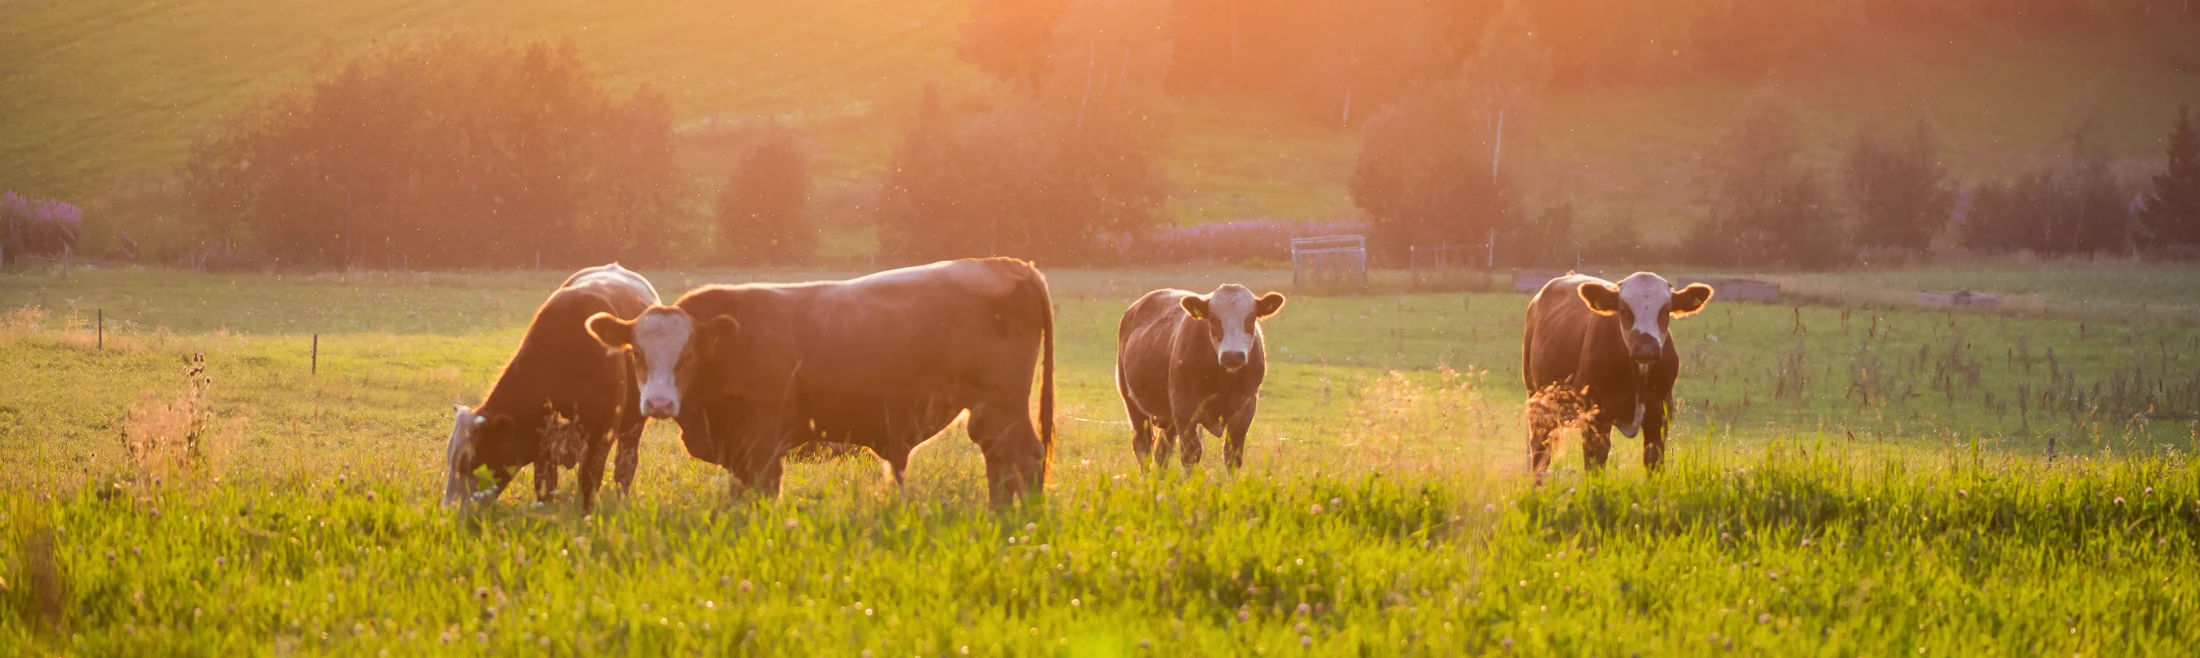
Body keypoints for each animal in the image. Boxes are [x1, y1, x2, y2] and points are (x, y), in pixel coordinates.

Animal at [442, 264, 655, 510]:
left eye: (470, 463)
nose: (448, 510)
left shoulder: (601, 436)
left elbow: (589, 481)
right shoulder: (543, 448)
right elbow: (544, 487)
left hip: (633, 426)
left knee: (625, 467)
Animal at [585, 257, 1056, 506]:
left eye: (688, 356)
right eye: (636, 353)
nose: (658, 404)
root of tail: (1007, 265)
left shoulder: (761, 442)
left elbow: (761, 493)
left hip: (1002, 406)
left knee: (1025, 458)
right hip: (990, 414)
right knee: (1001, 462)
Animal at [1117, 286, 1284, 470]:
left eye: (1250, 318)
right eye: (1213, 319)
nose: (1232, 355)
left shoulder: (1245, 408)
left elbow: (1232, 456)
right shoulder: (1184, 409)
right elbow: (1191, 455)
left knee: (1162, 453)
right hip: (1132, 403)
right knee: (1143, 449)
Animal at [1522, 270, 1707, 481]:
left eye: (1665, 310)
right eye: (1624, 310)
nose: (1646, 349)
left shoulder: (1660, 413)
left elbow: (1653, 462)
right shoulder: (1596, 415)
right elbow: (1595, 464)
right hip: (1538, 399)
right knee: (1540, 451)